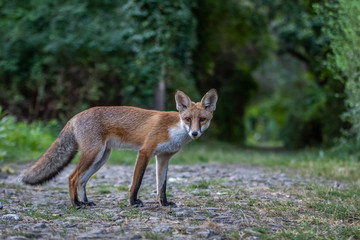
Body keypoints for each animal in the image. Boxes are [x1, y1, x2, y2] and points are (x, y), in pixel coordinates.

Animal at [21, 89, 218, 207]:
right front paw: (133, 202)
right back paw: (76, 204)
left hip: (102, 158)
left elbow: (161, 185)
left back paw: (85, 202)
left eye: (202, 119)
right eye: (187, 119)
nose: (194, 133)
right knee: (72, 178)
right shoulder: (145, 152)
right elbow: (136, 182)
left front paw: (164, 203)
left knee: (81, 181)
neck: (174, 130)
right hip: (93, 155)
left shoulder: (163, 157)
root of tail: (75, 116)